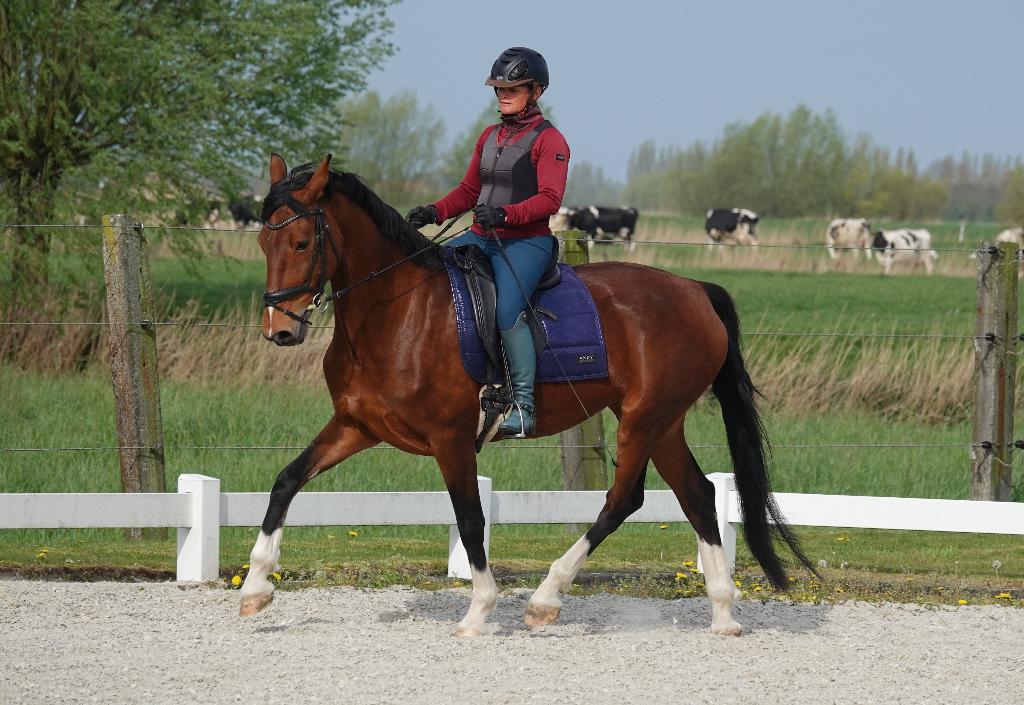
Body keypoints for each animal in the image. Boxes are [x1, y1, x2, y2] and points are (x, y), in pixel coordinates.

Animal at [241, 153, 814, 637]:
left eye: (301, 243)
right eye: (263, 244)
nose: (280, 330)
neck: (396, 313)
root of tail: (695, 289)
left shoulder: (451, 439)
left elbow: (471, 519)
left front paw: (479, 610)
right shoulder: (357, 426)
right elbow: (286, 480)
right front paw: (255, 587)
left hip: (643, 419)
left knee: (623, 500)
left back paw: (546, 598)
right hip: (664, 423)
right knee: (697, 494)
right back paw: (723, 614)